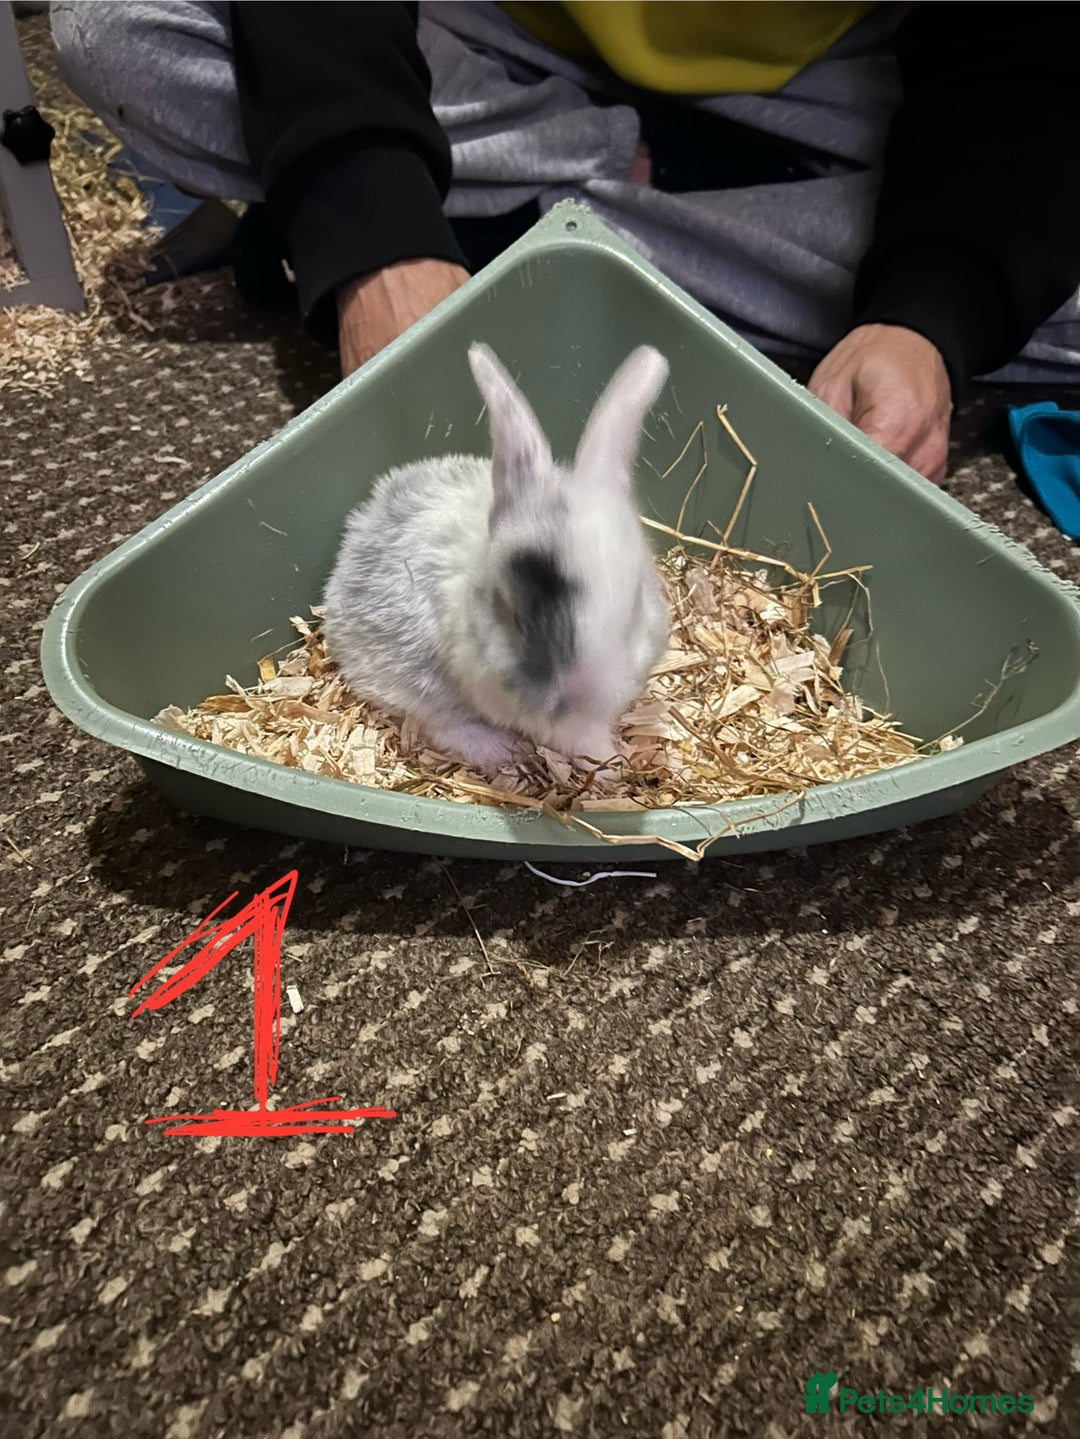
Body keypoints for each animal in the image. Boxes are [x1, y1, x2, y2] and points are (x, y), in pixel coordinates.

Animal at [321, 342, 671, 775]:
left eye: (637, 600)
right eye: (513, 613)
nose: (588, 690)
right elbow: (575, 737)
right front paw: (609, 766)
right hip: (417, 681)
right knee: (442, 724)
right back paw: (499, 750)